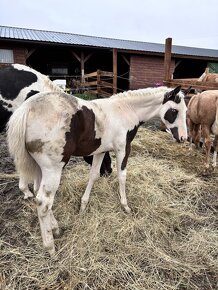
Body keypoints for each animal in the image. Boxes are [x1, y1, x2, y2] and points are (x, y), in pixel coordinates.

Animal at [6, 85, 187, 255]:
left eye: (186, 111)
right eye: (174, 111)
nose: (183, 138)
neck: (126, 110)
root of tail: (27, 108)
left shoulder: (100, 151)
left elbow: (93, 175)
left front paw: (83, 206)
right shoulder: (123, 149)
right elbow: (122, 176)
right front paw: (125, 206)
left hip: (39, 167)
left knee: (38, 194)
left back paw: (55, 229)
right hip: (53, 168)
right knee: (43, 201)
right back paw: (50, 247)